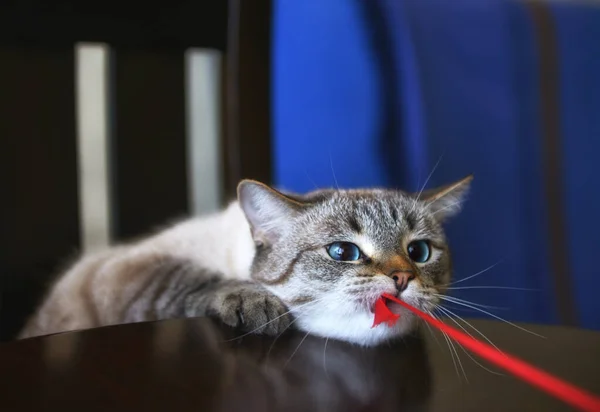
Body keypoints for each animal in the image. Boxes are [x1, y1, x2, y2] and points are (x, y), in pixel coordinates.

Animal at [18, 175, 472, 346]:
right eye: (343, 252)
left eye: (419, 252)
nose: (401, 278)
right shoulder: (128, 268)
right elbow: (192, 280)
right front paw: (257, 303)